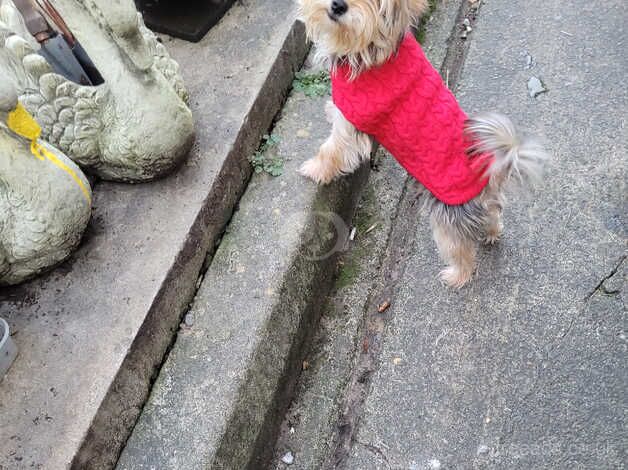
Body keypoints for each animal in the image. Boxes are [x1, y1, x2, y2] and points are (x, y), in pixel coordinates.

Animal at [296, 0, 548, 286]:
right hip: (483, 205)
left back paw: (455, 276)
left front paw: (314, 169)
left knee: (461, 251)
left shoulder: (350, 126)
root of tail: (492, 169)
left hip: (447, 219)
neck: (372, 47)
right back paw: (491, 233)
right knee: (493, 215)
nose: (338, 5)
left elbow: (331, 152)